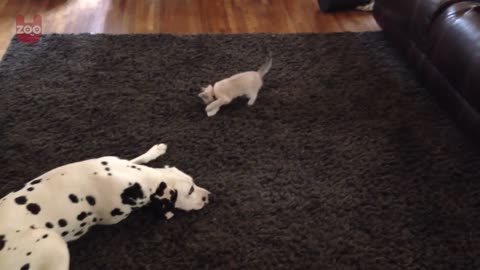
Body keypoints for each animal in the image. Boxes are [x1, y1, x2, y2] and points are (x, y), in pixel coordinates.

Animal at [0, 143, 210, 270]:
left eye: (193, 182)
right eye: (190, 191)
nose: (208, 196)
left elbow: (139, 159)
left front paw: (155, 151)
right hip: (53, 242)